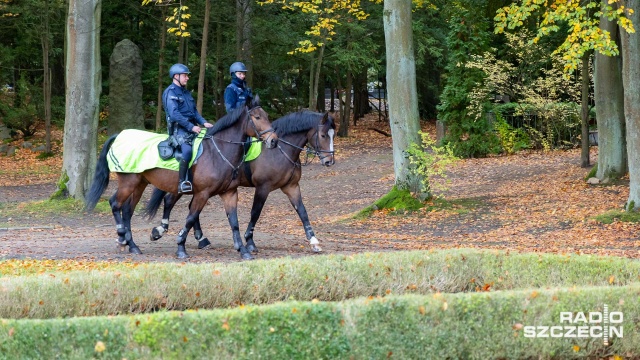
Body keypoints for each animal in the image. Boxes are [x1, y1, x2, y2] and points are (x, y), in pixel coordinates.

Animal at [84, 95, 276, 258]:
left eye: (266, 115)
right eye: (257, 117)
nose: (273, 140)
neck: (218, 152)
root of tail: (120, 136)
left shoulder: (229, 193)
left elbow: (234, 222)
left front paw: (243, 250)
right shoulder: (202, 194)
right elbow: (190, 218)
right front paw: (181, 247)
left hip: (140, 184)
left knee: (127, 210)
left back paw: (132, 245)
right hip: (128, 182)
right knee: (115, 204)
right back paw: (122, 236)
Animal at [144, 110, 336, 258]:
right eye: (323, 135)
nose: (329, 161)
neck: (280, 150)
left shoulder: (292, 187)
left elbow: (303, 213)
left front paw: (314, 242)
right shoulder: (263, 187)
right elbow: (255, 213)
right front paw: (249, 242)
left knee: (190, 207)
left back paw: (200, 238)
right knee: (170, 201)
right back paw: (160, 231)